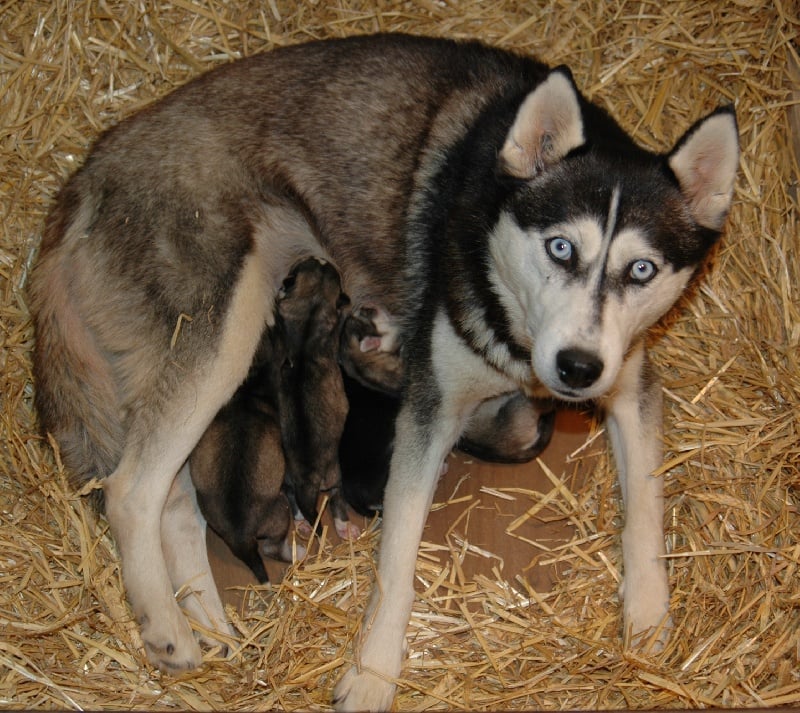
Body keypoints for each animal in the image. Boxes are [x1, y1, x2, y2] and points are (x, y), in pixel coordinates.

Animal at [34, 32, 740, 708]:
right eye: (561, 248)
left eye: (641, 269)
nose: (577, 368)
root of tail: (86, 172)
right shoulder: (429, 406)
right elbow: (397, 558)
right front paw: (373, 674)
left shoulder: (631, 384)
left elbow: (645, 503)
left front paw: (648, 619)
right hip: (223, 328)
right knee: (132, 491)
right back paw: (169, 629)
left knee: (177, 505)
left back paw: (210, 626)